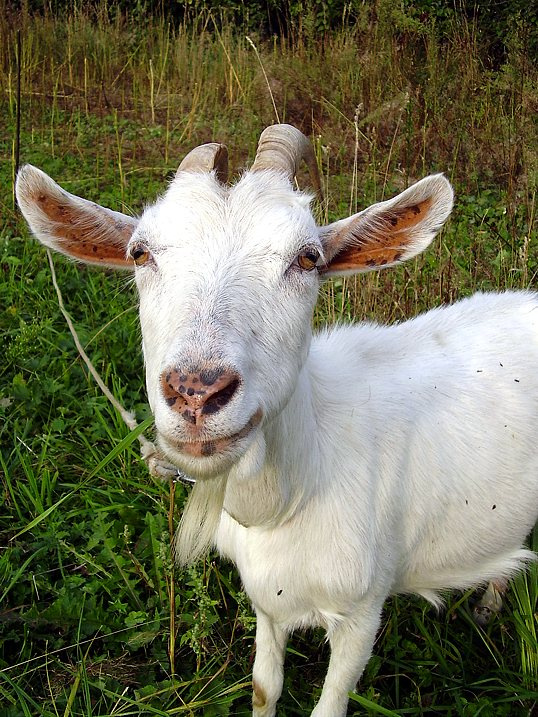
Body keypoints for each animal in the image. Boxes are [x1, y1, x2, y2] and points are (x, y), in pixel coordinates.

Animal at [16, 125, 538, 717]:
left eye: (308, 258)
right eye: (140, 252)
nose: (197, 392)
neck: (290, 498)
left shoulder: (362, 611)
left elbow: (330, 704)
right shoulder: (266, 603)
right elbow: (265, 687)